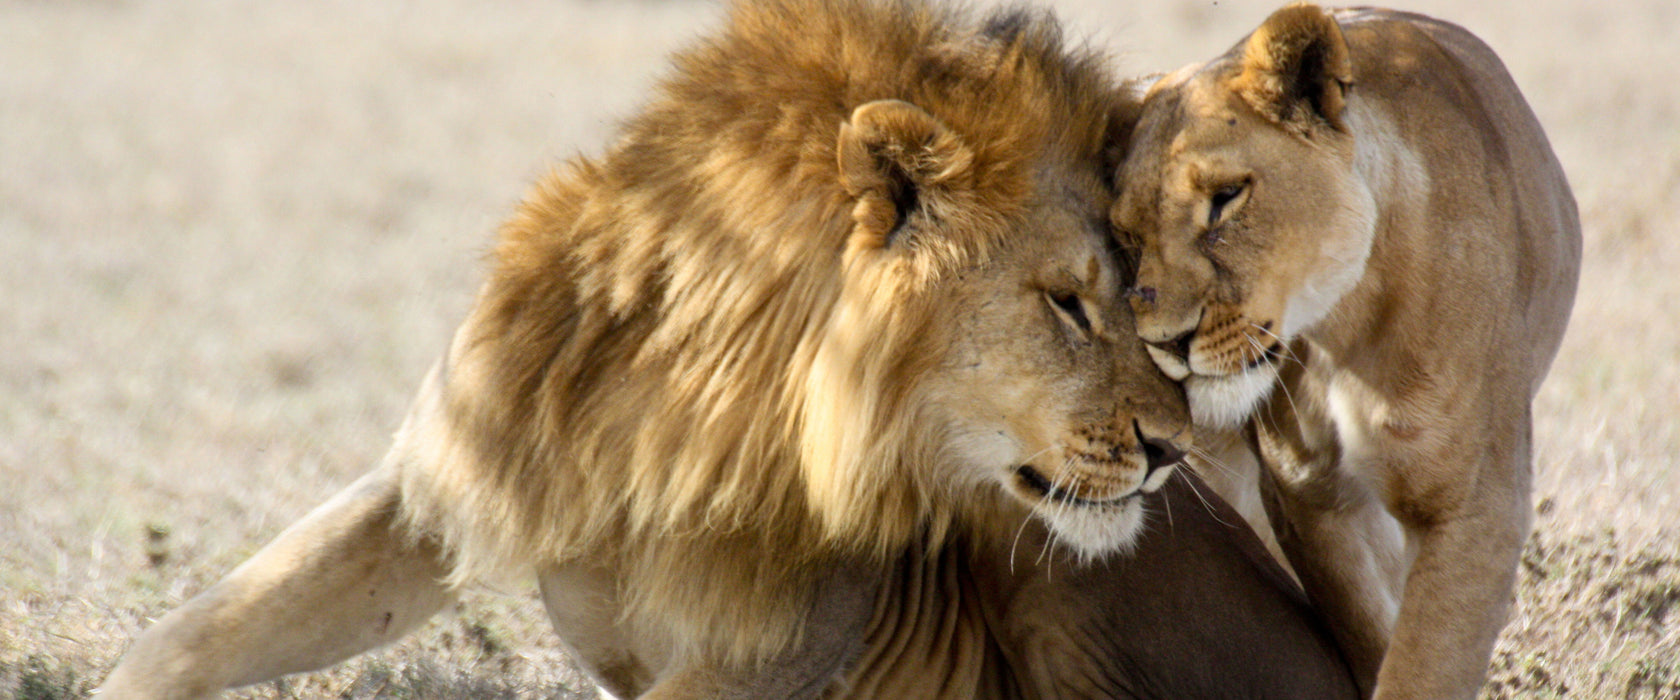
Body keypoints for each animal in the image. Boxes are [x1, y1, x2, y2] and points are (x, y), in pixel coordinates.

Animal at [101, 2, 1209, 694]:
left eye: (1141, 296)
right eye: (1068, 303)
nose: (1175, 449)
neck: (689, 406)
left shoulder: (791, 642)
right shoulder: (442, 476)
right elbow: (195, 633)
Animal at [1108, 2, 1579, 694]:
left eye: (1226, 198)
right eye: (1127, 234)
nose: (1164, 340)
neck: (1344, 332)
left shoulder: (1473, 511)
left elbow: (1421, 669)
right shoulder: (1308, 495)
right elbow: (1368, 634)